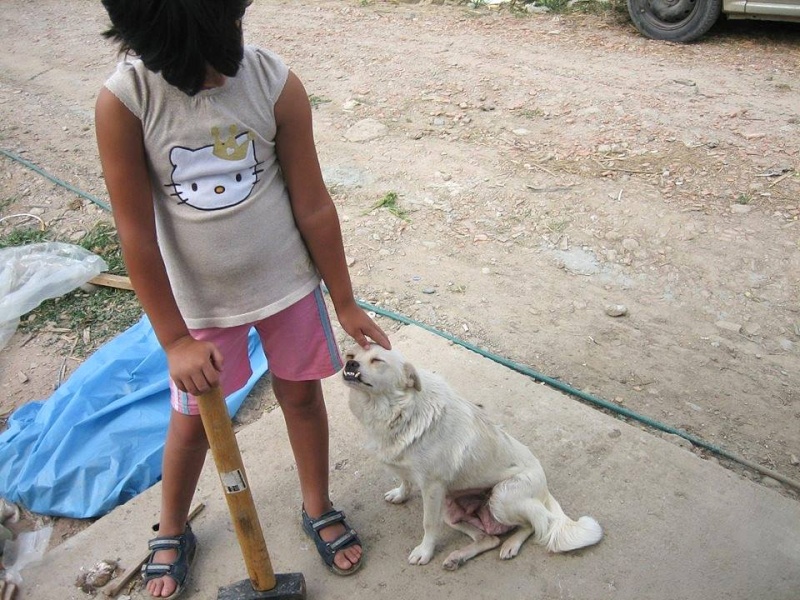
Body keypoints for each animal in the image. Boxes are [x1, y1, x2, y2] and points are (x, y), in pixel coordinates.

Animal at [342, 344, 600, 568]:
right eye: (350, 354)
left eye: (377, 360)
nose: (350, 363)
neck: (397, 411)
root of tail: (544, 488)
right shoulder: (413, 473)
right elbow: (405, 480)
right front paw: (400, 494)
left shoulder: (432, 486)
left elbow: (428, 525)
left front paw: (425, 552)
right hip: (448, 509)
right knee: (489, 538)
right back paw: (458, 557)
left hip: (501, 497)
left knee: (536, 524)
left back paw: (511, 545)